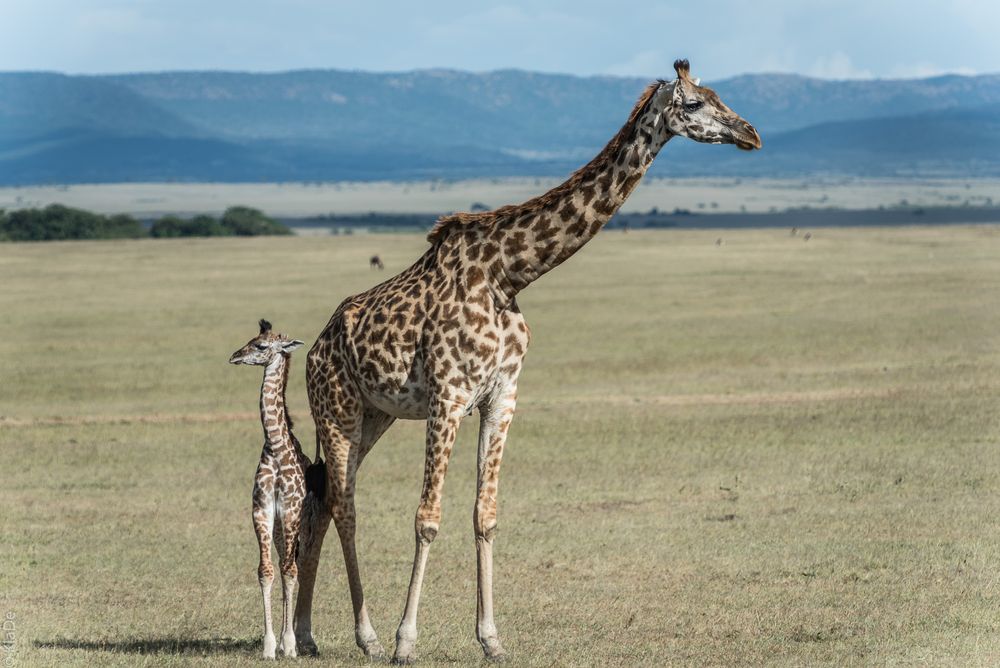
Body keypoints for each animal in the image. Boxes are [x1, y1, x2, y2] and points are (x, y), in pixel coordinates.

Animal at [292, 58, 760, 664]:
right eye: (697, 103)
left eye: (719, 95)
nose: (751, 133)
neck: (509, 275)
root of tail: (315, 348)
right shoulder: (448, 398)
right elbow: (427, 519)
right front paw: (406, 640)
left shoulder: (501, 398)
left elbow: (485, 516)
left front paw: (491, 638)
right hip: (338, 410)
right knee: (344, 505)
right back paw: (364, 636)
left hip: (376, 416)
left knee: (324, 500)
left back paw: (305, 634)